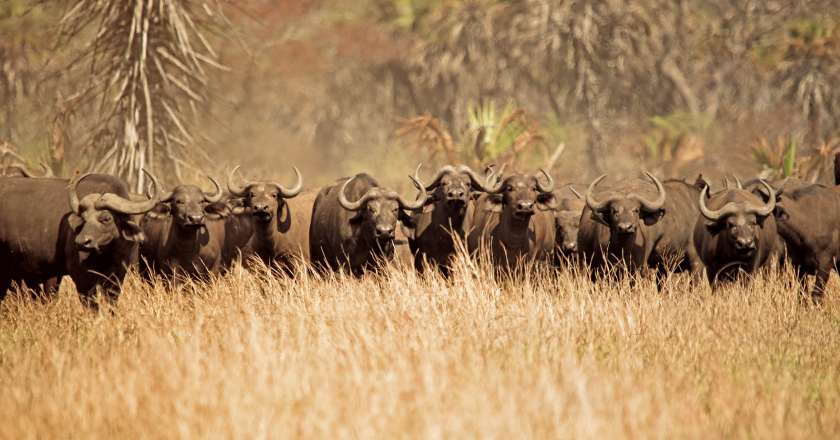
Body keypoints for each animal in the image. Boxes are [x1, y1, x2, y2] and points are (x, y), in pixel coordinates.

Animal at [0, 172, 159, 302]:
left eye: (106, 218)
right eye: (84, 218)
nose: (82, 242)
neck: (107, 253)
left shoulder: (117, 276)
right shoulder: (82, 278)